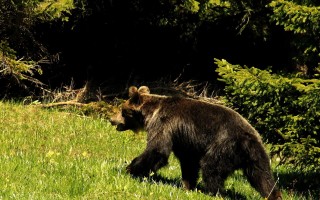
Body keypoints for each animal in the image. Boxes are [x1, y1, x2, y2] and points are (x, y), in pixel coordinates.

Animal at [110, 85, 282, 199]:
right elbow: (188, 162)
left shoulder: (164, 124)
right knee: (263, 177)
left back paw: (214, 192)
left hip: (223, 145)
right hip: (257, 156)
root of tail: (248, 138)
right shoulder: (184, 140)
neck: (150, 113)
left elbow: (157, 150)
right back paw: (273, 195)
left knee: (211, 168)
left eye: (122, 110)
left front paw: (130, 169)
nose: (112, 120)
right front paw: (187, 185)